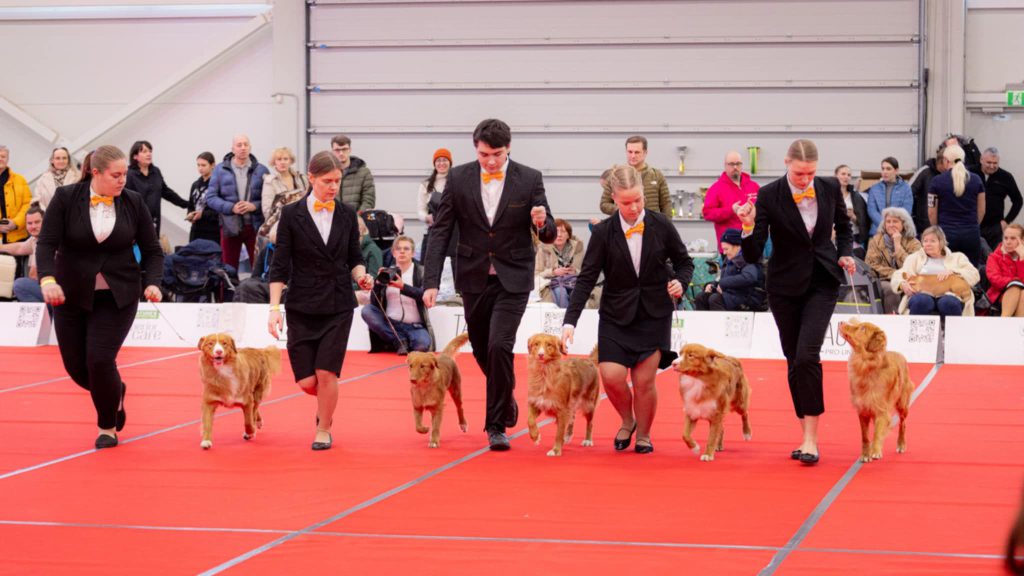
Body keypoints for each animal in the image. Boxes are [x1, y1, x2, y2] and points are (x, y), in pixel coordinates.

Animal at [838, 319, 915, 462]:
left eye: (862, 329)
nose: (840, 322)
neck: (866, 366)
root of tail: (899, 354)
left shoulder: (881, 410)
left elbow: (877, 433)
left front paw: (875, 452)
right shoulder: (863, 410)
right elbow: (865, 436)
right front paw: (865, 454)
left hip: (902, 404)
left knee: (903, 424)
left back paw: (901, 444)